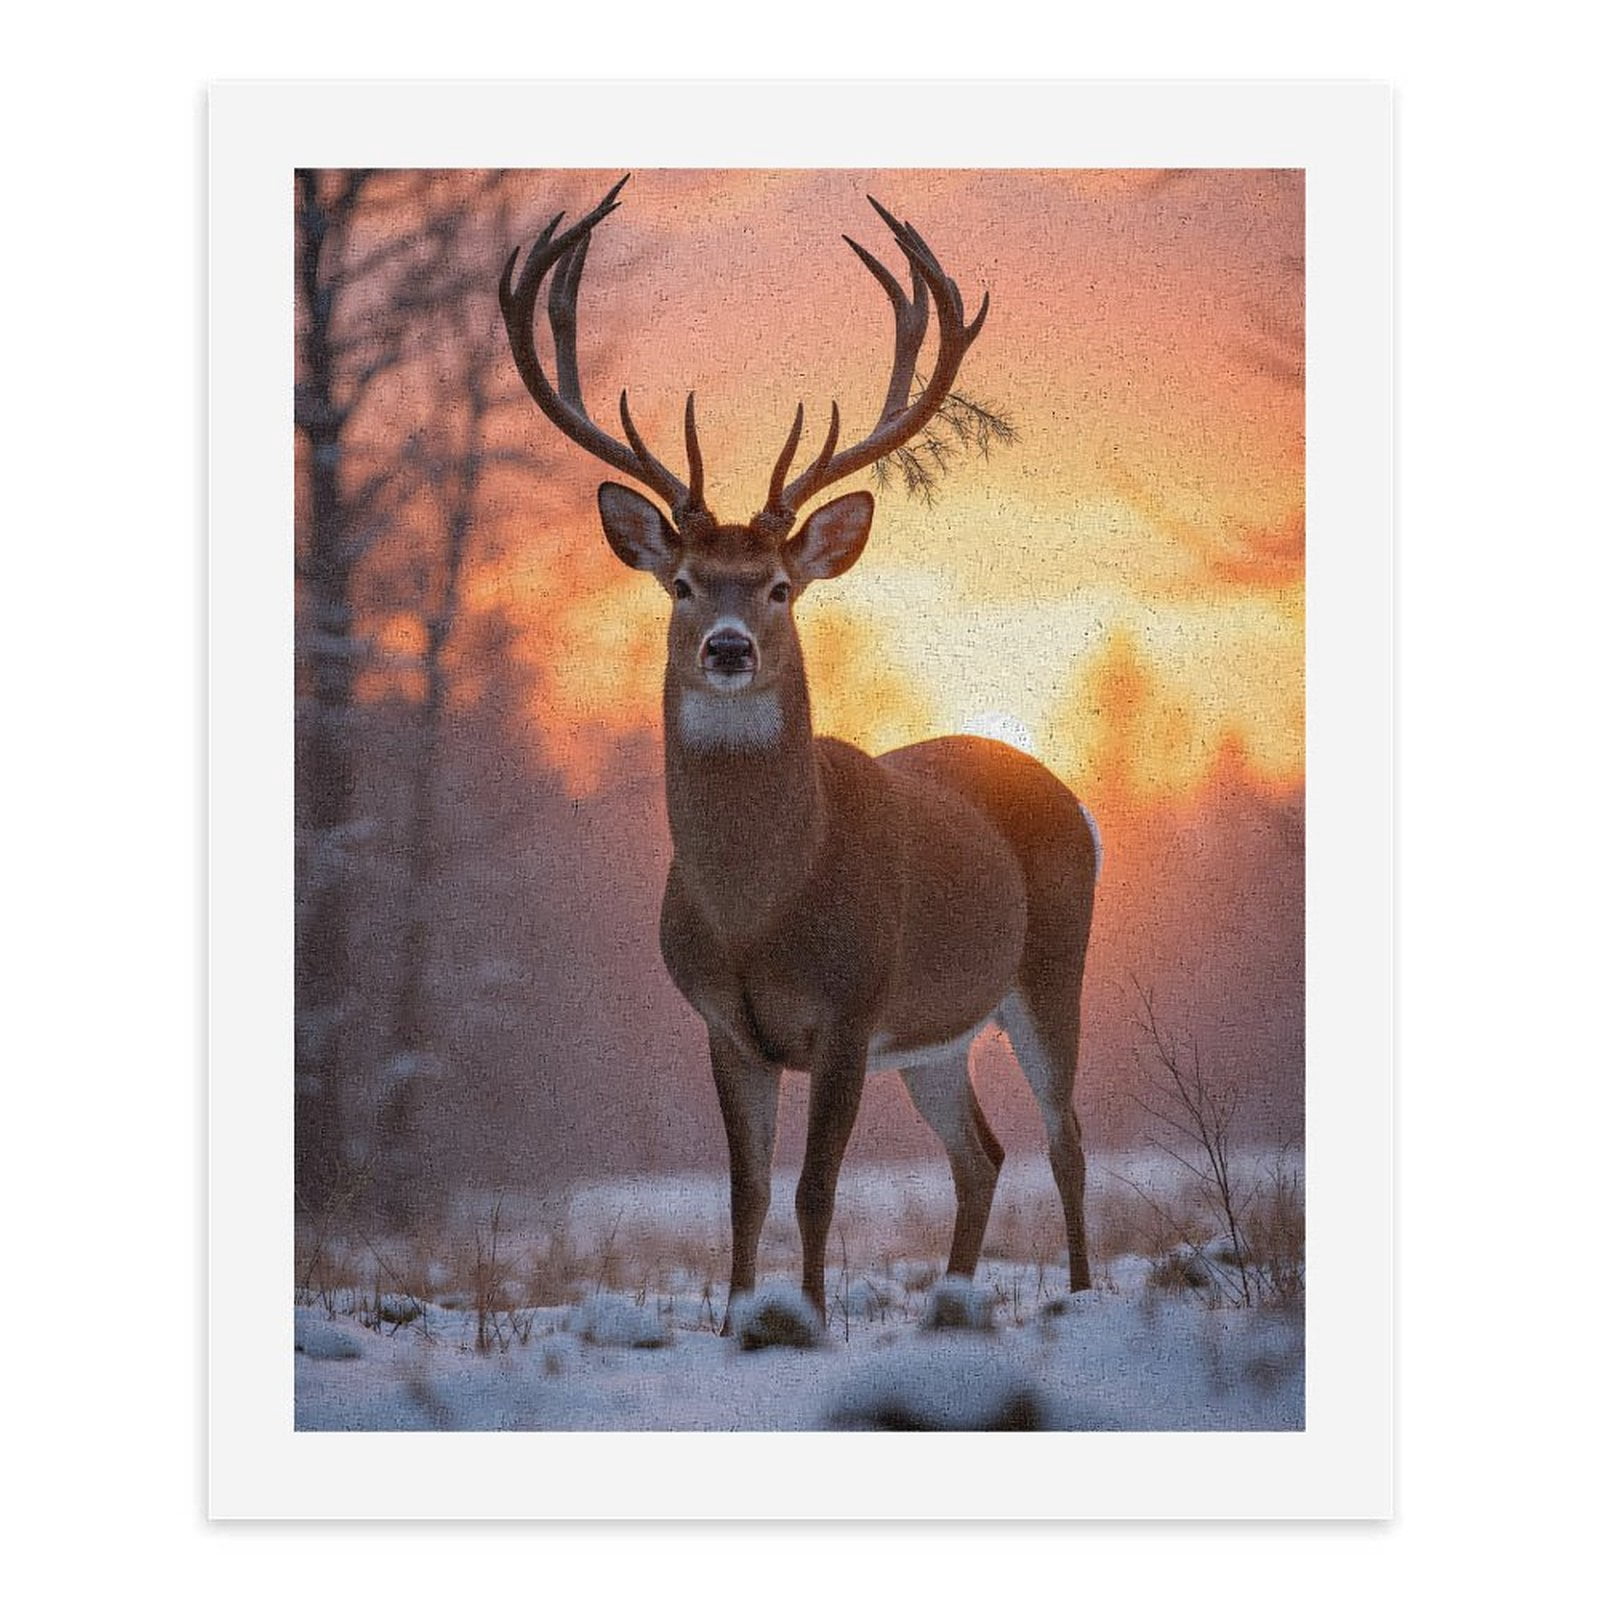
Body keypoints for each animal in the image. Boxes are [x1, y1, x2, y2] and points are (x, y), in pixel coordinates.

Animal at [500, 176, 1100, 1325]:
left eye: (780, 586)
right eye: (682, 584)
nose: (730, 647)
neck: (758, 911)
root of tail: (1066, 791)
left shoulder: (851, 1010)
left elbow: (816, 1190)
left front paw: (809, 1320)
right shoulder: (725, 1025)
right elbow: (743, 1193)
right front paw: (741, 1319)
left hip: (1051, 967)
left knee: (1065, 1143)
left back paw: (1085, 1298)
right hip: (939, 1033)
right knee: (982, 1155)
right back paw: (952, 1302)